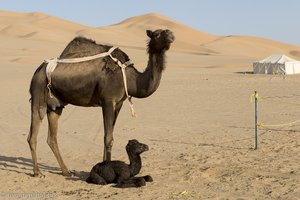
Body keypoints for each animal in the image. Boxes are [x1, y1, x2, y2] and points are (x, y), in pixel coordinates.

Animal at [27, 28, 175, 176]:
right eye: (157, 34)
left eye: (166, 31)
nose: (171, 35)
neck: (130, 77)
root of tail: (36, 72)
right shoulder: (108, 100)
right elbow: (108, 139)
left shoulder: (119, 103)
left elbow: (108, 136)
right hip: (38, 93)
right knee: (32, 134)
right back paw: (37, 172)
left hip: (55, 106)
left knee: (52, 137)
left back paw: (66, 171)